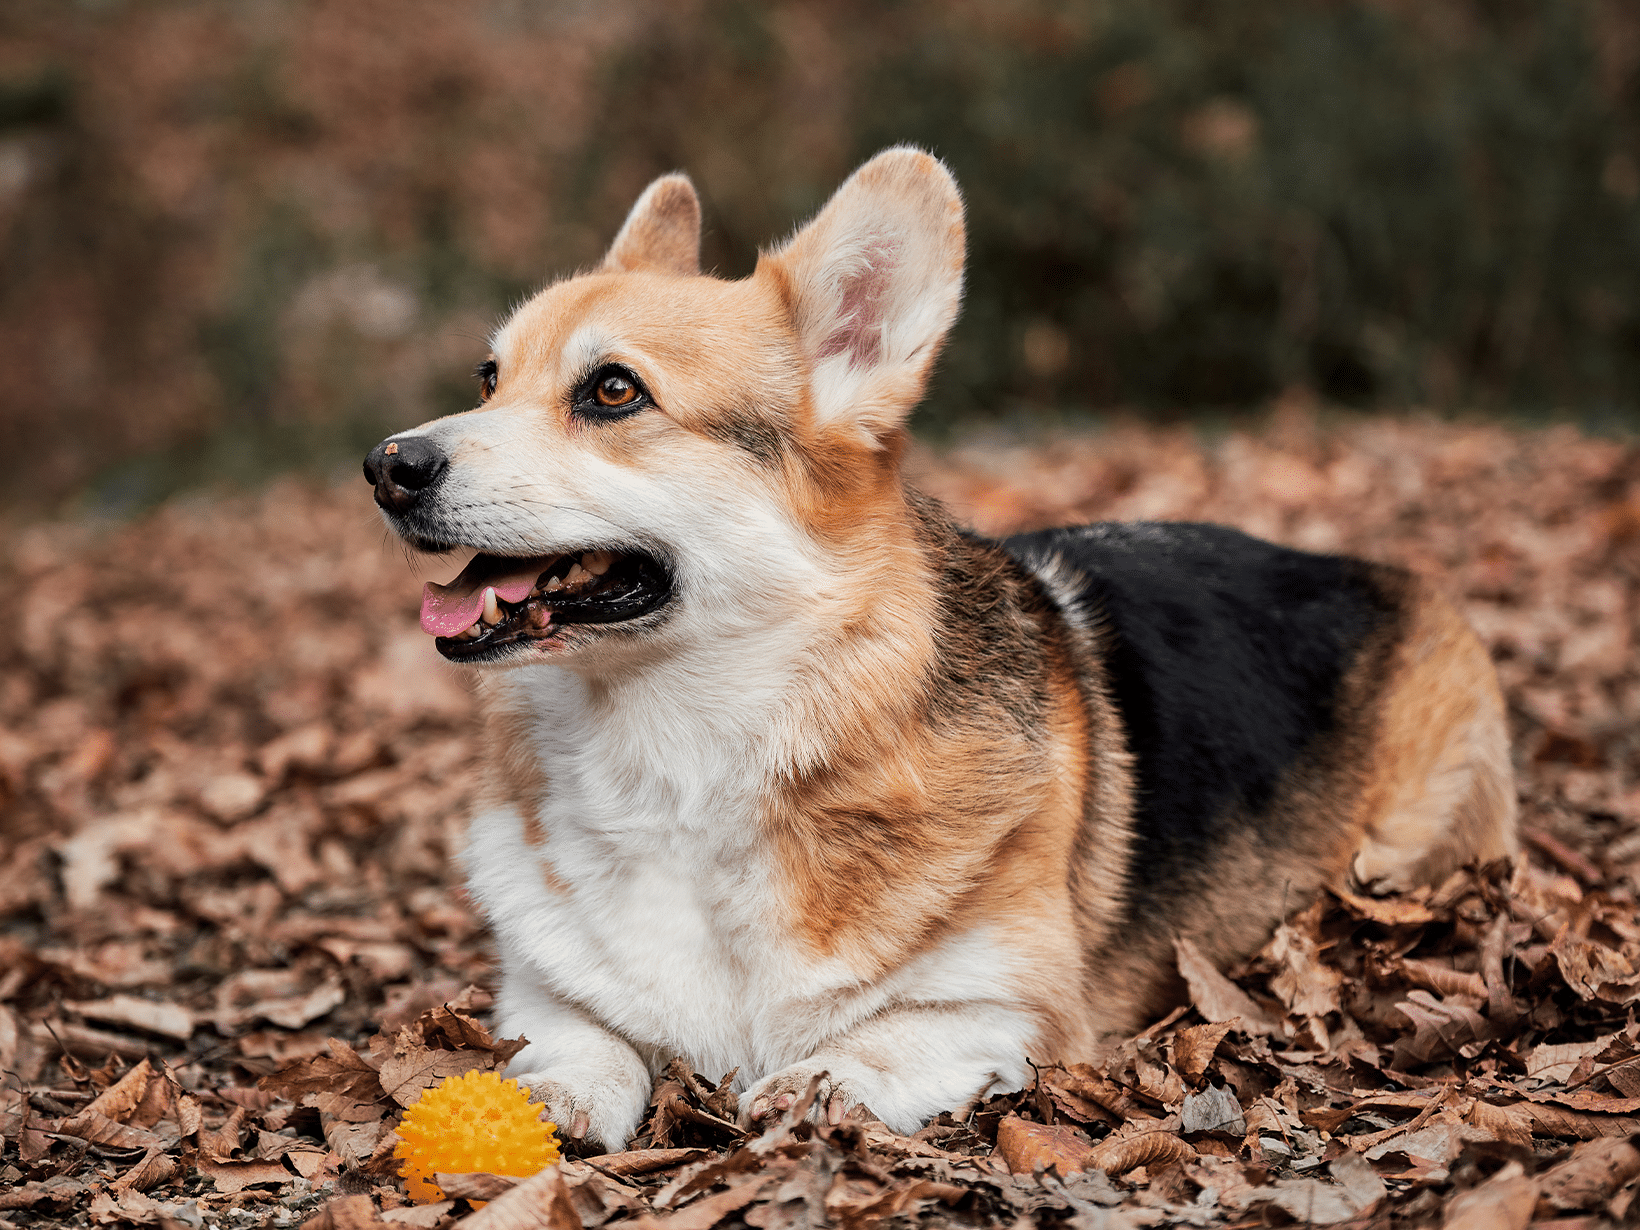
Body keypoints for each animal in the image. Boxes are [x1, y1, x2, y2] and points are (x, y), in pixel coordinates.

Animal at [365, 149, 1515, 1154]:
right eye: (487, 377)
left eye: (612, 391)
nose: (386, 464)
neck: (679, 753)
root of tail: (1368, 567)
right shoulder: (545, 987)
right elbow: (581, 1038)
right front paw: (550, 1097)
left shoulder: (1011, 1007)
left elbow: (883, 1040)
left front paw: (815, 1086)